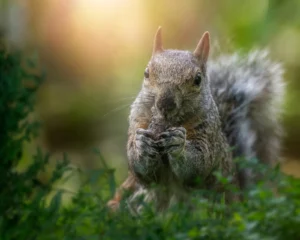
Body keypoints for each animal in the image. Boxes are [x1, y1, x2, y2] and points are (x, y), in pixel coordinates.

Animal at [106, 26, 284, 212]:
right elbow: (142, 172)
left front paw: (178, 144)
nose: (165, 104)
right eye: (146, 73)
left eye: (197, 79)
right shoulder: (137, 121)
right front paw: (141, 145)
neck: (170, 122)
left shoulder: (207, 136)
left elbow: (198, 165)